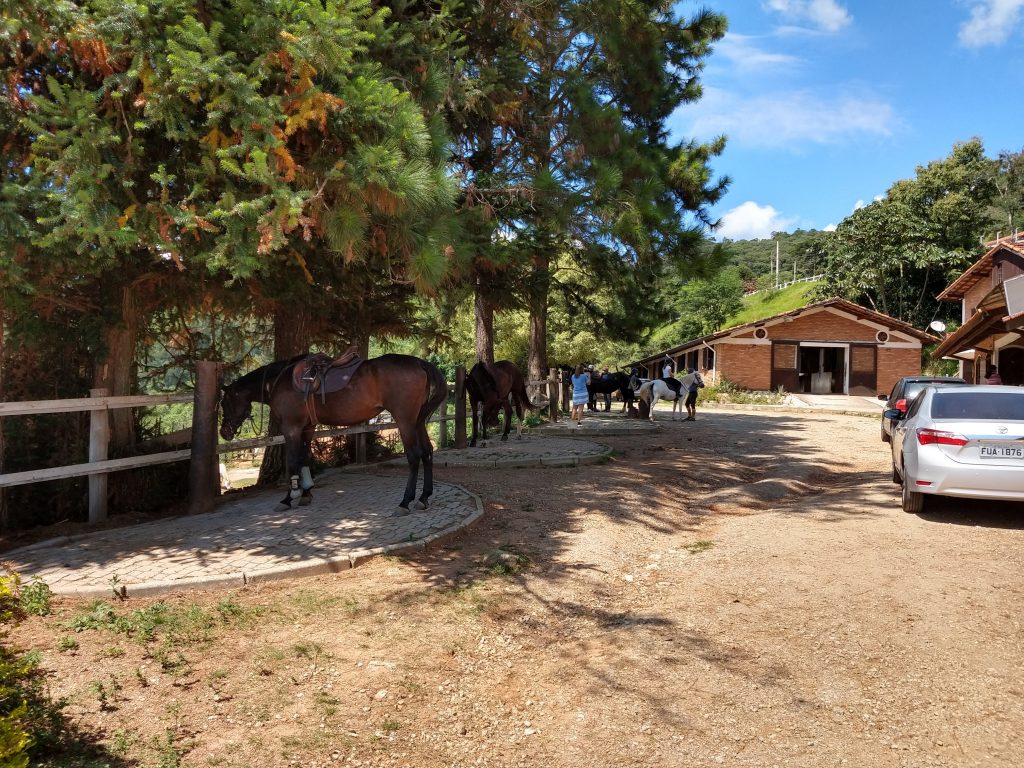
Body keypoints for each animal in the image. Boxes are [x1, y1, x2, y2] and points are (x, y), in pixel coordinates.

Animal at [218, 354, 446, 512]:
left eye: (224, 402)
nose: (224, 432)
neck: (278, 381)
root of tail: (420, 364)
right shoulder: (307, 427)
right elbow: (304, 458)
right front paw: (306, 493)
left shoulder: (291, 428)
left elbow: (293, 461)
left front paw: (289, 497)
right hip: (418, 421)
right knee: (427, 452)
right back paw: (424, 498)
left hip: (405, 421)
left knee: (414, 456)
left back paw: (405, 502)